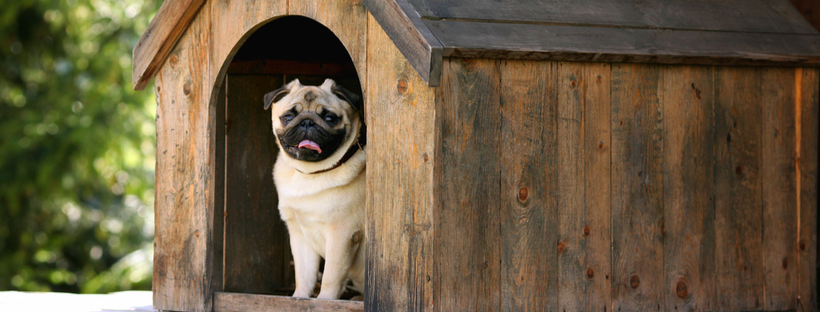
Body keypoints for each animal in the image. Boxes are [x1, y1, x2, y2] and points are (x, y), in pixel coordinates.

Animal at [262, 78, 366, 300]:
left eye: (330, 118)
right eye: (288, 117)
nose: (307, 122)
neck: (310, 174)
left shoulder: (341, 235)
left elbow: (330, 277)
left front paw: (325, 301)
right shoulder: (300, 235)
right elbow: (304, 275)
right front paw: (300, 298)